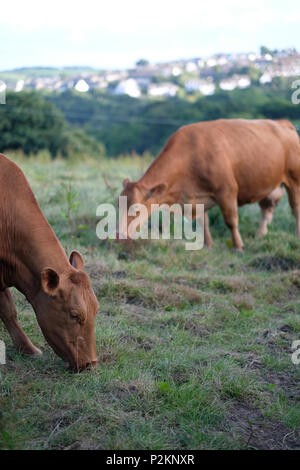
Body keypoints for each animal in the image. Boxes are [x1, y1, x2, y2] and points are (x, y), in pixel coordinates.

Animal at [119, 118, 300, 250]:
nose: (119, 235)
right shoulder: (197, 198)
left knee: (295, 208)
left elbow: (231, 221)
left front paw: (238, 246)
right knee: (267, 208)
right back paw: (260, 235)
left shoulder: (227, 190)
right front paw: (207, 245)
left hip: (294, 180)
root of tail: (283, 122)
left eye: (136, 209)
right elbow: (202, 223)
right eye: (118, 205)